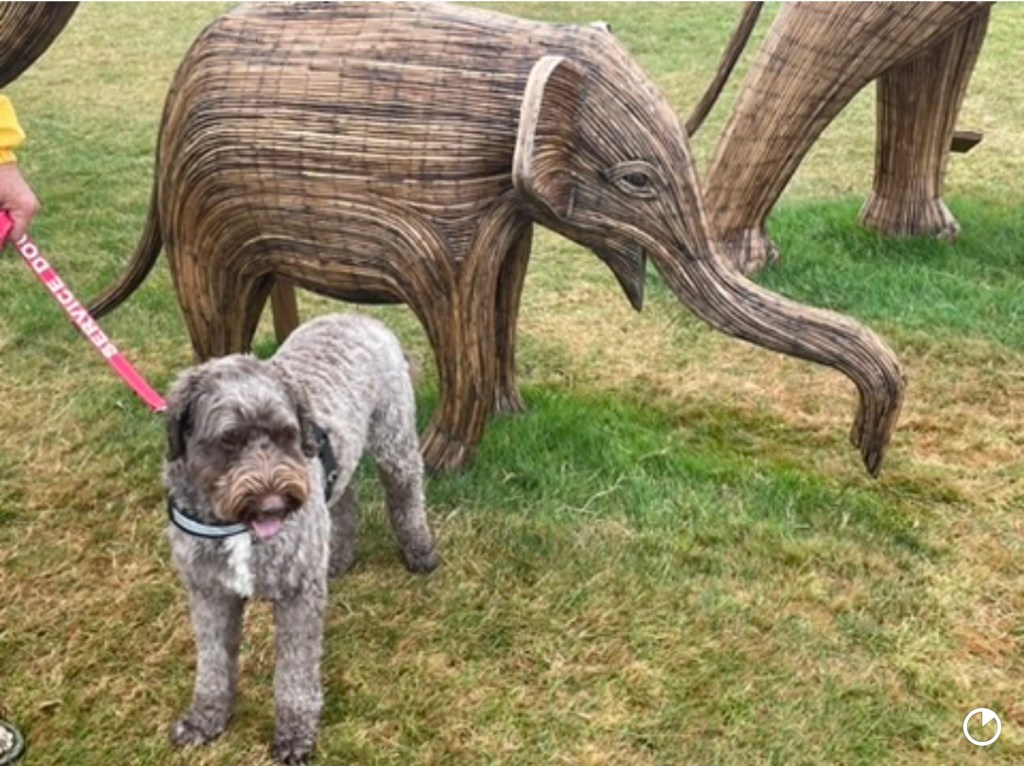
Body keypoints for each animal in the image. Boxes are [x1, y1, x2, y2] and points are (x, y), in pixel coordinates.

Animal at [163, 312, 440, 764]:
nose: (275, 502)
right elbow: (213, 665)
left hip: (395, 442)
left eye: (286, 433)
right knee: (344, 503)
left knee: (406, 496)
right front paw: (205, 719)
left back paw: (420, 552)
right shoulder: (210, 593)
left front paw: (295, 735)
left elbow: (294, 675)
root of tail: (360, 317)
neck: (235, 527)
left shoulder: (297, 596)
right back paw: (339, 559)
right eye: (229, 439)